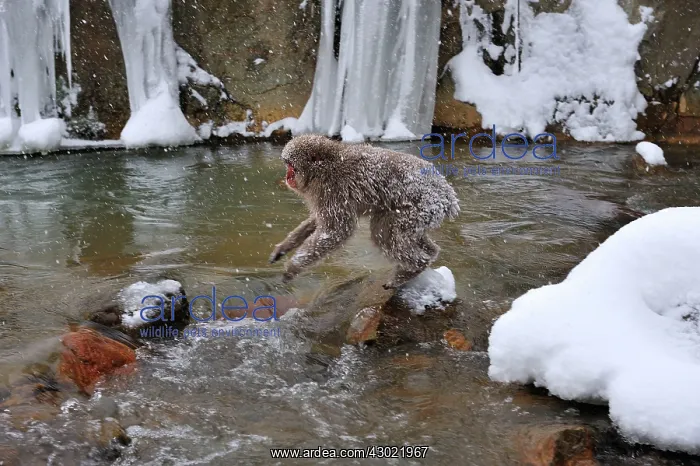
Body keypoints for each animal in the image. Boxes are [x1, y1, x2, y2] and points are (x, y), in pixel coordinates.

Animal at [269, 134, 460, 289]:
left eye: (291, 167)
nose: (287, 177)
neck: (325, 167)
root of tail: (448, 194)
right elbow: (318, 221)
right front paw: (284, 248)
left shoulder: (333, 190)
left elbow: (336, 231)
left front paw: (292, 268)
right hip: (426, 214)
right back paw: (430, 253)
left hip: (421, 206)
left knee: (384, 234)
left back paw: (414, 268)